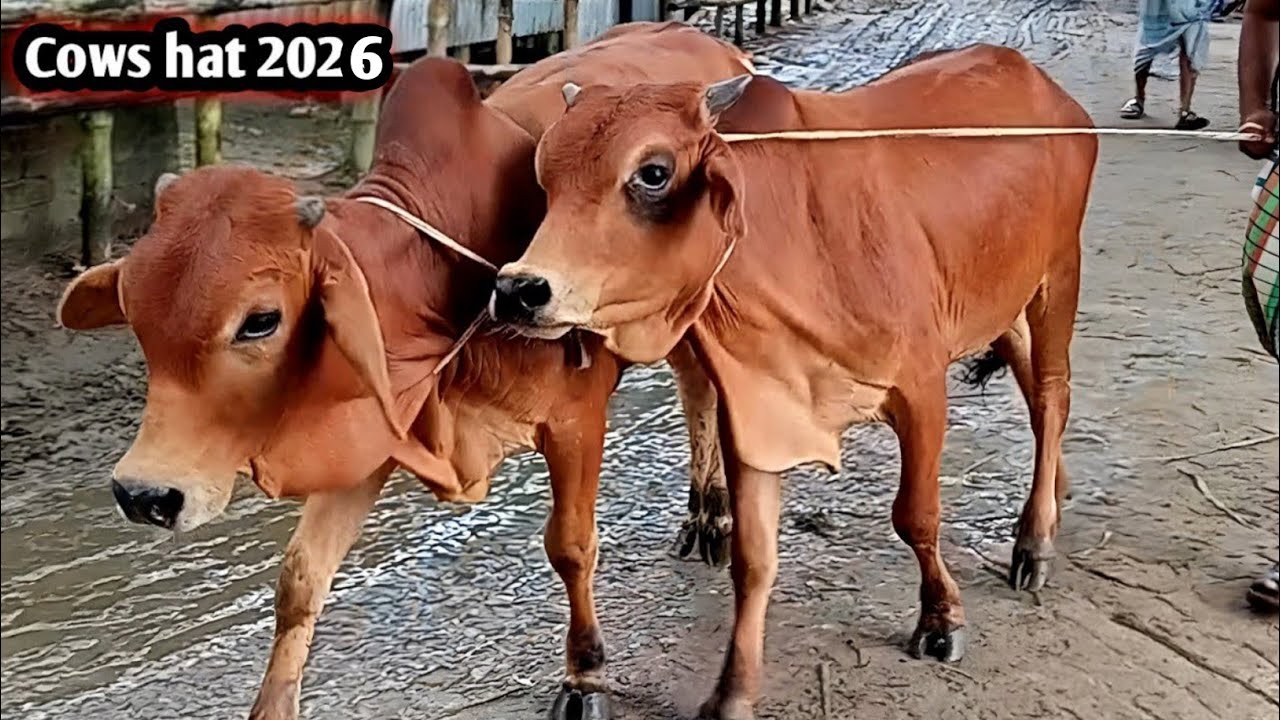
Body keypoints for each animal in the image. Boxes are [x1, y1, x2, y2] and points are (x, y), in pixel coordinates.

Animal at [54, 22, 750, 720]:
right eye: (136, 317)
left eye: (260, 320)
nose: (144, 495)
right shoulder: (374, 429)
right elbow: (300, 577)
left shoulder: (575, 420)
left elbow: (572, 547)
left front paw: (585, 676)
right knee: (695, 389)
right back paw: (704, 512)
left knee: (707, 390)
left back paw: (715, 516)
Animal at [492, 44, 1098, 719]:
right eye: (545, 172)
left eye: (653, 173)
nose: (519, 289)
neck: (794, 241)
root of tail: (1036, 80)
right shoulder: (756, 413)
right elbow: (753, 562)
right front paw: (732, 693)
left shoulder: (921, 388)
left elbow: (916, 515)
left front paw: (941, 619)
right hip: (1001, 298)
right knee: (1033, 385)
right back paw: (1055, 493)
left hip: (1057, 273)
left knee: (1051, 394)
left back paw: (1034, 540)